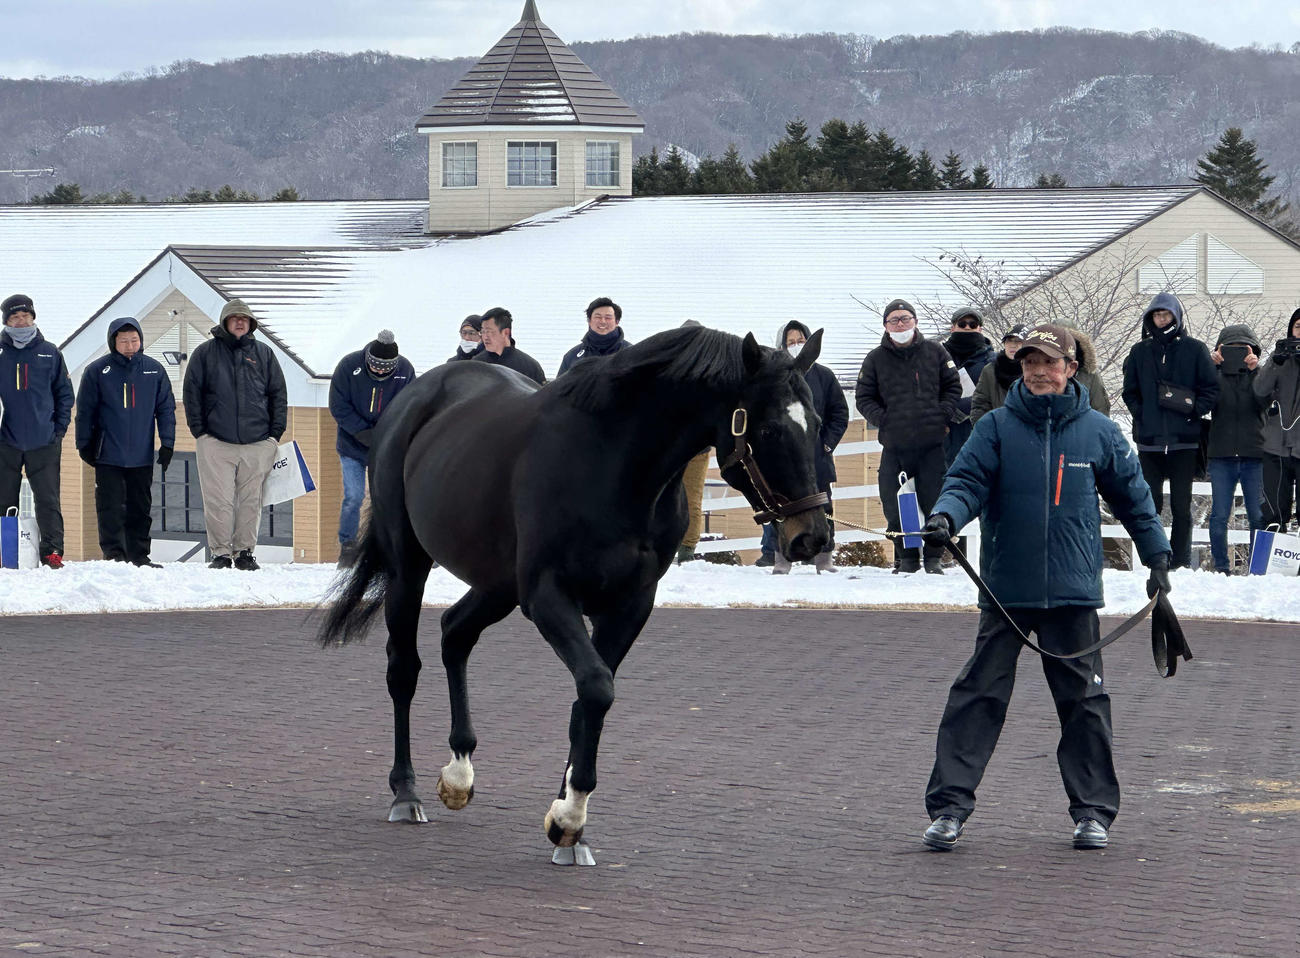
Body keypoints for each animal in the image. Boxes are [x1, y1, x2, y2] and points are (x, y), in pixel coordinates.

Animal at [317, 324, 832, 864]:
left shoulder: (629, 605)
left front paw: (568, 826)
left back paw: (459, 772)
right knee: (404, 668)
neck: (614, 464)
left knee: (455, 634)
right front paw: (569, 814)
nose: (812, 536)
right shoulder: (547, 596)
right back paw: (406, 792)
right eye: (769, 429)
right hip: (410, 567)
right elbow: (597, 686)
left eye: (817, 422)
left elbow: (591, 697)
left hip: (498, 584)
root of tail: (414, 398)